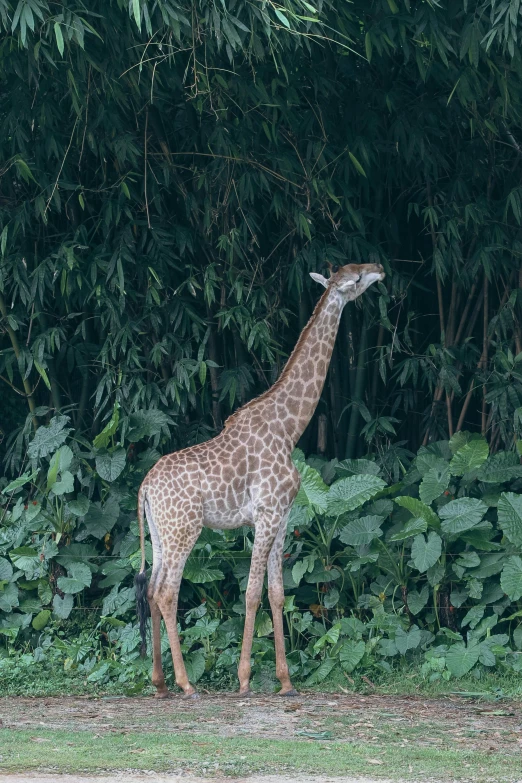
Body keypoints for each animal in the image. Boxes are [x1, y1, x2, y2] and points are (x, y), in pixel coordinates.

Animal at [136, 262, 384, 700]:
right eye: (354, 279)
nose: (380, 269)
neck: (289, 428)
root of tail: (145, 487)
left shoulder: (282, 518)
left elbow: (277, 594)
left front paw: (286, 682)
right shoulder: (266, 514)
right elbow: (251, 594)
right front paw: (245, 679)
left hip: (161, 532)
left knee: (151, 590)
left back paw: (160, 683)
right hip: (185, 529)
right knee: (167, 592)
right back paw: (186, 683)